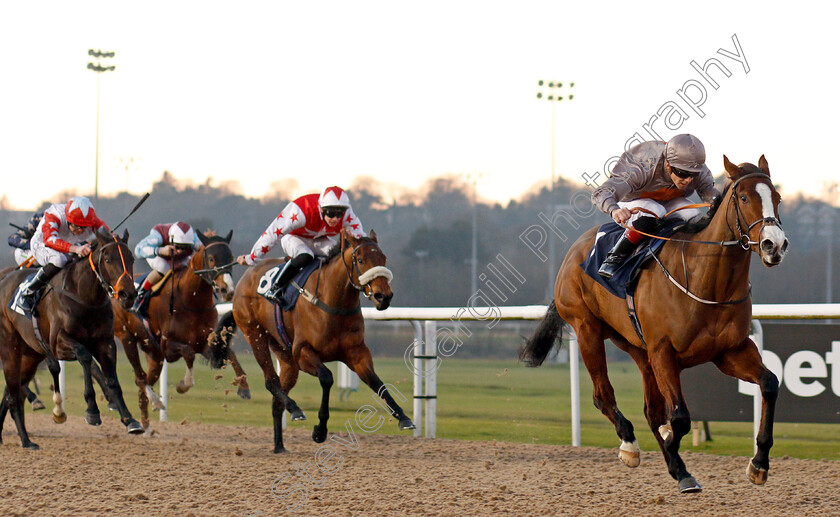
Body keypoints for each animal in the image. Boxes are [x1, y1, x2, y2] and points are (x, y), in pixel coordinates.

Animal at [0, 230, 143, 448]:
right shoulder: (58, 344)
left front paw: (130, 419)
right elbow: (84, 357)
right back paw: (26, 440)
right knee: (13, 393)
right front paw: (92, 410)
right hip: (10, 350)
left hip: (29, 357)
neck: (85, 299)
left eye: (131, 258)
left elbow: (112, 381)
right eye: (108, 260)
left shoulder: (106, 343)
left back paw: (20, 438)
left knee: (10, 392)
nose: (128, 295)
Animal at [110, 230, 246, 428]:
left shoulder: (203, 343)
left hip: (154, 355)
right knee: (140, 378)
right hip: (126, 337)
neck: (192, 301)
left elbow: (228, 352)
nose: (226, 289)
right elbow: (188, 354)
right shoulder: (168, 346)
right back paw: (154, 405)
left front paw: (244, 386)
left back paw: (147, 424)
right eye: (211, 258)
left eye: (231, 257)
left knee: (144, 387)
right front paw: (183, 385)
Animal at [212, 230, 416, 452]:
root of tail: (245, 278)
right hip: (255, 335)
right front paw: (320, 430)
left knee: (277, 399)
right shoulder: (303, 352)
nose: (383, 296)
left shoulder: (356, 352)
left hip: (285, 355)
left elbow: (376, 381)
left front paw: (403, 418)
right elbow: (327, 377)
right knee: (271, 381)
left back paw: (279, 446)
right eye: (361, 260)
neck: (333, 304)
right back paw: (295, 409)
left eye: (383, 259)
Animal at [520, 156, 792, 492]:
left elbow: (769, 383)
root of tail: (574, 250)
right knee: (603, 395)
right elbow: (680, 418)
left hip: (637, 348)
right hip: (587, 329)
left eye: (777, 197)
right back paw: (630, 446)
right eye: (743, 198)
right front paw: (672, 449)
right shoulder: (664, 352)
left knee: (651, 410)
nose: (774, 245)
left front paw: (758, 463)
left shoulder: (730, 351)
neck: (706, 282)